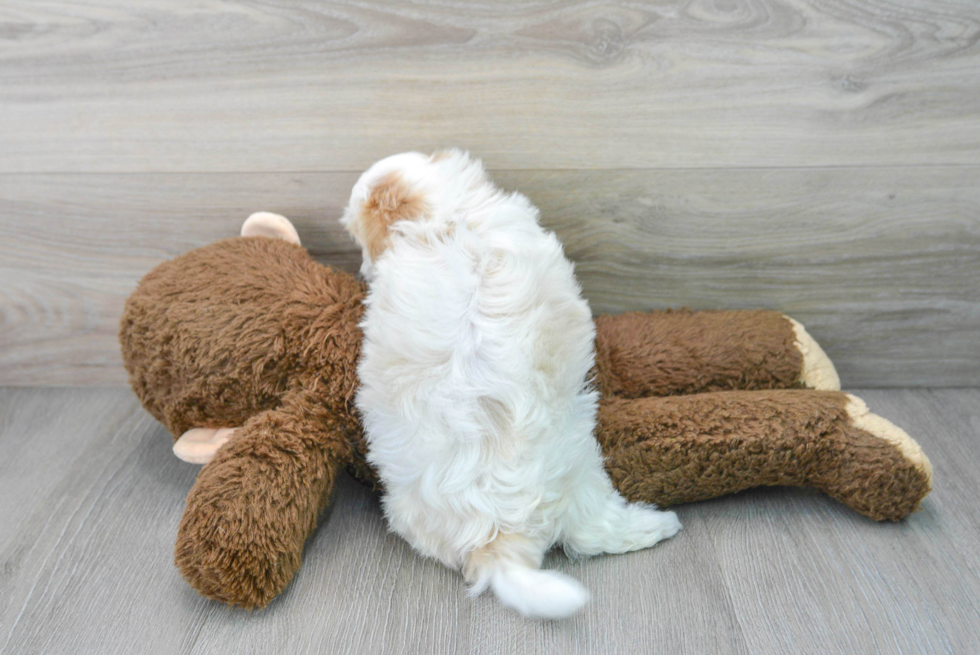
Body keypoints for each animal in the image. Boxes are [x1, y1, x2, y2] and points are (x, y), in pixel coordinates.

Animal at [340, 150, 676, 620]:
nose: (362, 269)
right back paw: (660, 523)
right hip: (583, 478)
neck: (446, 217)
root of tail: (500, 534)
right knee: (597, 531)